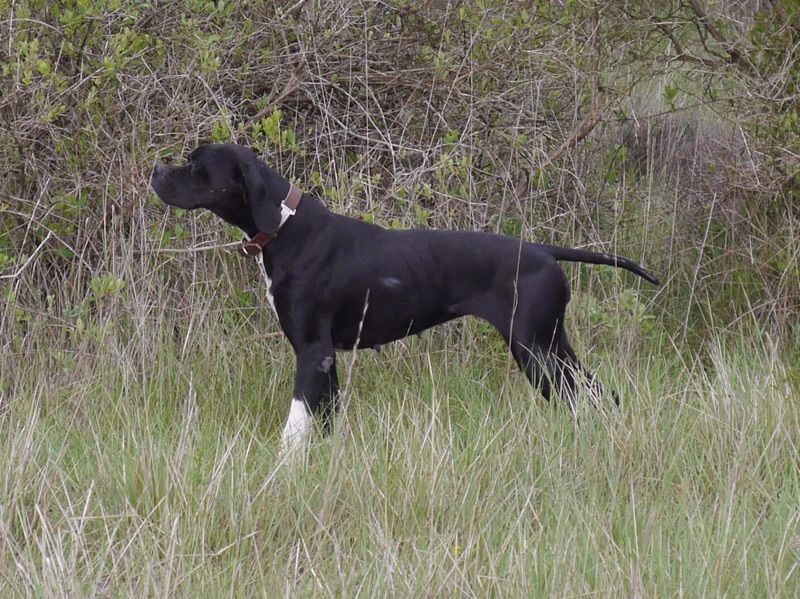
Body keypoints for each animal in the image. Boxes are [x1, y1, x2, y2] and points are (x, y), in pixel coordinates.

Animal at [150, 145, 656, 460]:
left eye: (196, 167)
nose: (156, 170)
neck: (287, 226)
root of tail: (543, 251)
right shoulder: (327, 360)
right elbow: (325, 421)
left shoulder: (312, 354)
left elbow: (294, 428)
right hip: (553, 347)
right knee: (601, 396)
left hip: (536, 351)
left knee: (585, 398)